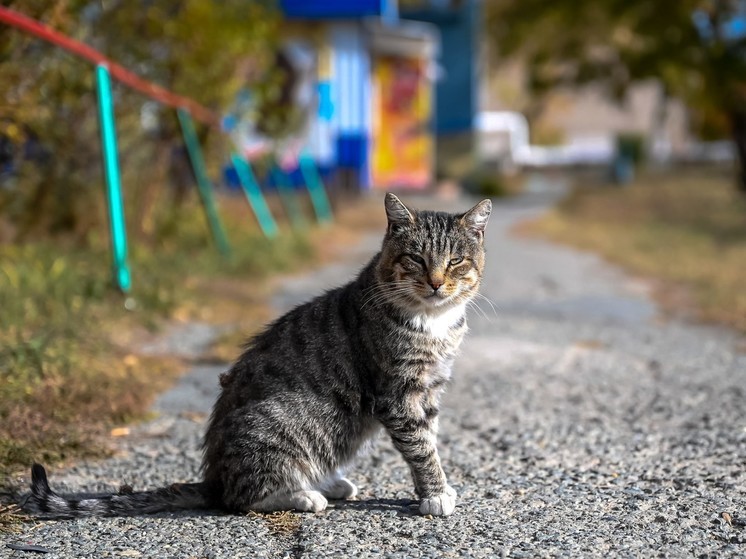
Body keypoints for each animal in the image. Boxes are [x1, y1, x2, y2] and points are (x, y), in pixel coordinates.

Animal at [20, 195, 492, 520]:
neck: (433, 322)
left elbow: (430, 439)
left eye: (456, 261)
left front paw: (436, 488)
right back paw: (305, 494)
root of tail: (213, 478)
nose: (436, 283)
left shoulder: (429, 391)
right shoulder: (399, 395)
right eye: (415, 259)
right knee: (242, 498)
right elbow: (421, 447)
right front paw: (434, 494)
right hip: (276, 425)